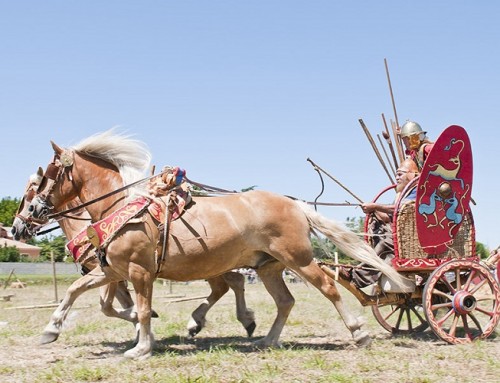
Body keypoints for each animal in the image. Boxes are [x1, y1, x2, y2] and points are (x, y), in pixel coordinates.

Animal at [12, 166, 256, 340]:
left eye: (31, 191)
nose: (16, 228)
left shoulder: (113, 271)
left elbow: (109, 305)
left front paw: (142, 325)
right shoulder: (112, 272)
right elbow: (114, 303)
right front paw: (141, 325)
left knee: (229, 284)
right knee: (229, 284)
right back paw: (220, 321)